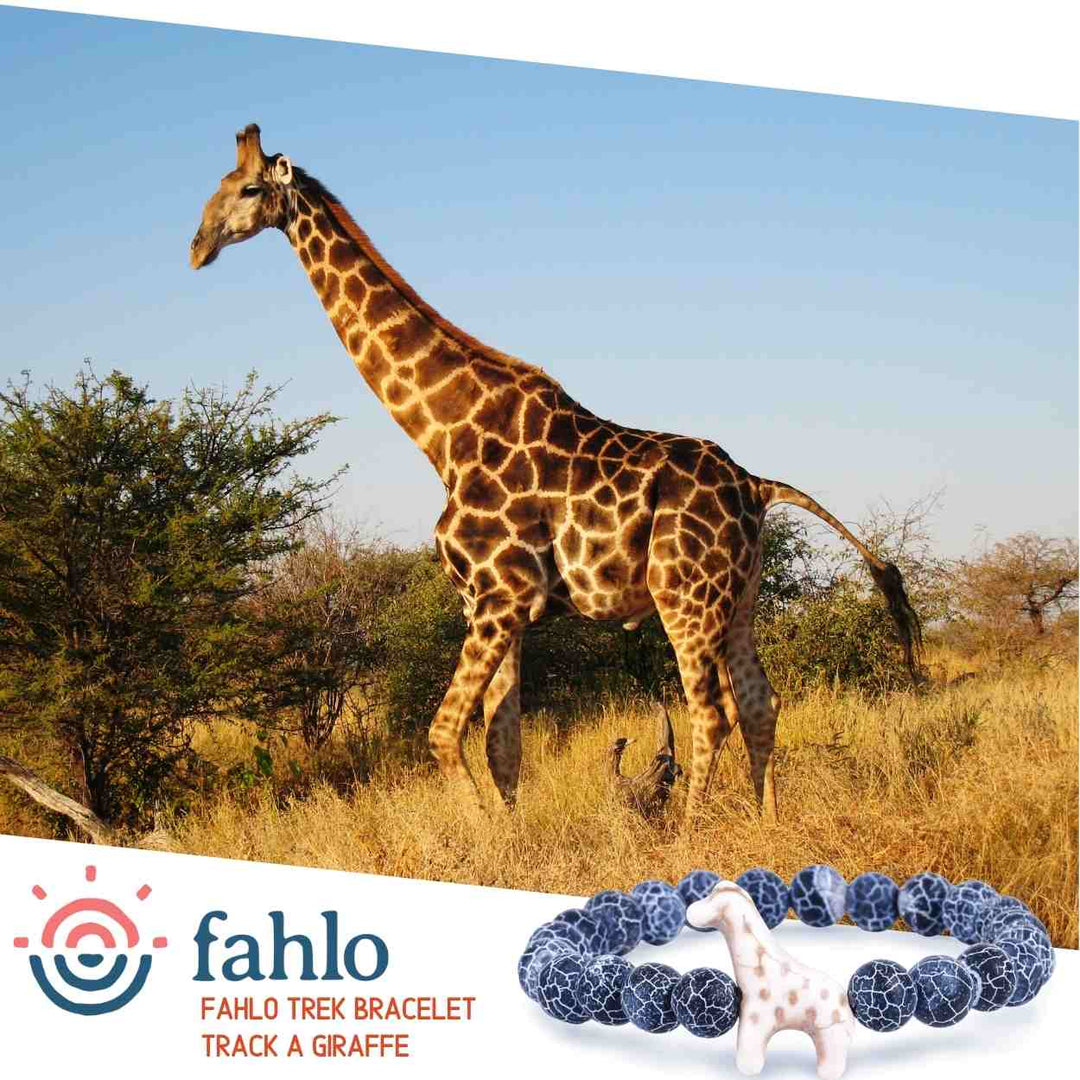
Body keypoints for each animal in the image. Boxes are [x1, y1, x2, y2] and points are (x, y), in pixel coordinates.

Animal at [190, 124, 922, 824]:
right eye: (218, 184)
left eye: (249, 189)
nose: (197, 248)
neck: (444, 433)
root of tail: (760, 487)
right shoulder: (490, 602)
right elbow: (501, 743)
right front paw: (510, 840)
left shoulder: (501, 595)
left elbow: (444, 733)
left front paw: (483, 837)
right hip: (737, 599)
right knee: (760, 702)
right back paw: (768, 825)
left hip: (684, 595)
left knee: (712, 713)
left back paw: (690, 835)